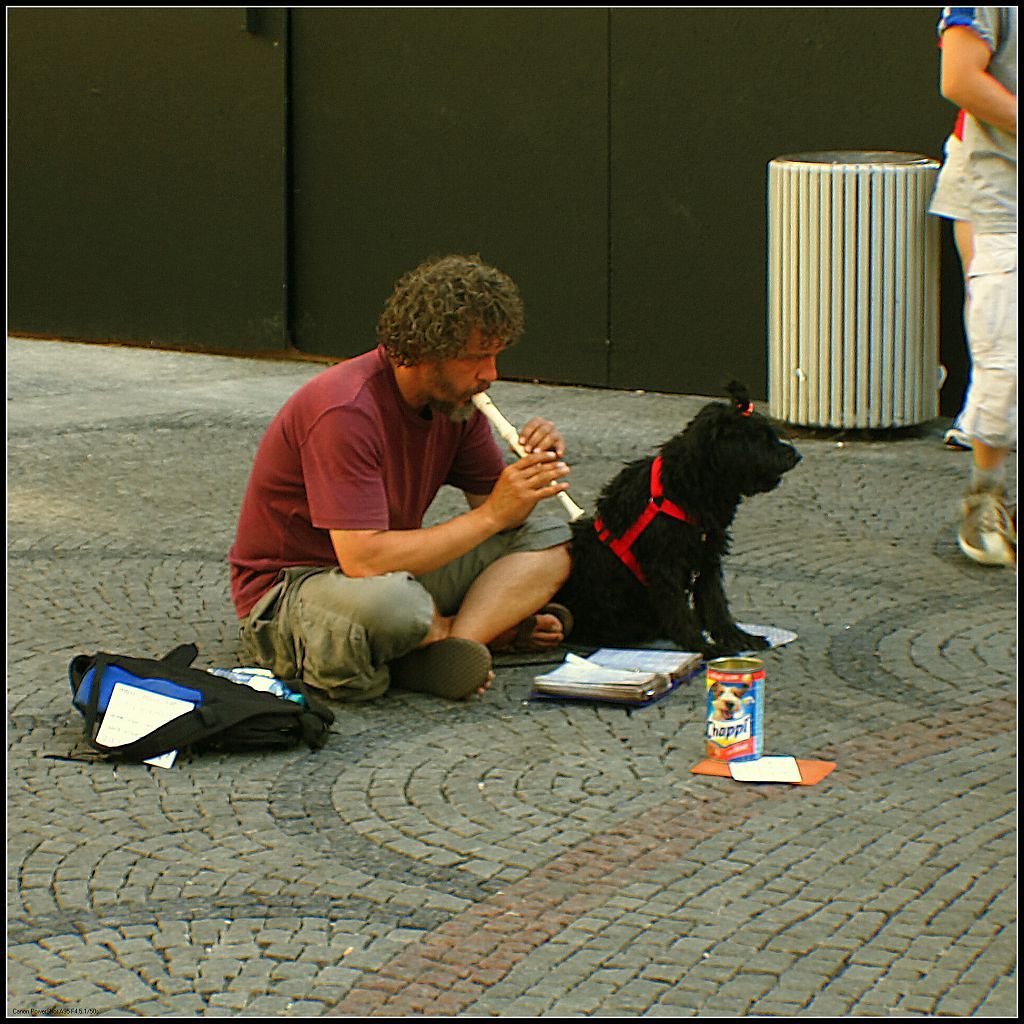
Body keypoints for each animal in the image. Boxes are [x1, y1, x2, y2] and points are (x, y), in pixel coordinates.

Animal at [561, 382, 798, 655]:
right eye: (760, 437)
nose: (795, 455)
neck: (686, 485)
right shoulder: (665, 563)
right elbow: (677, 608)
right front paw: (700, 645)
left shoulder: (708, 557)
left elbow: (716, 605)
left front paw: (737, 637)